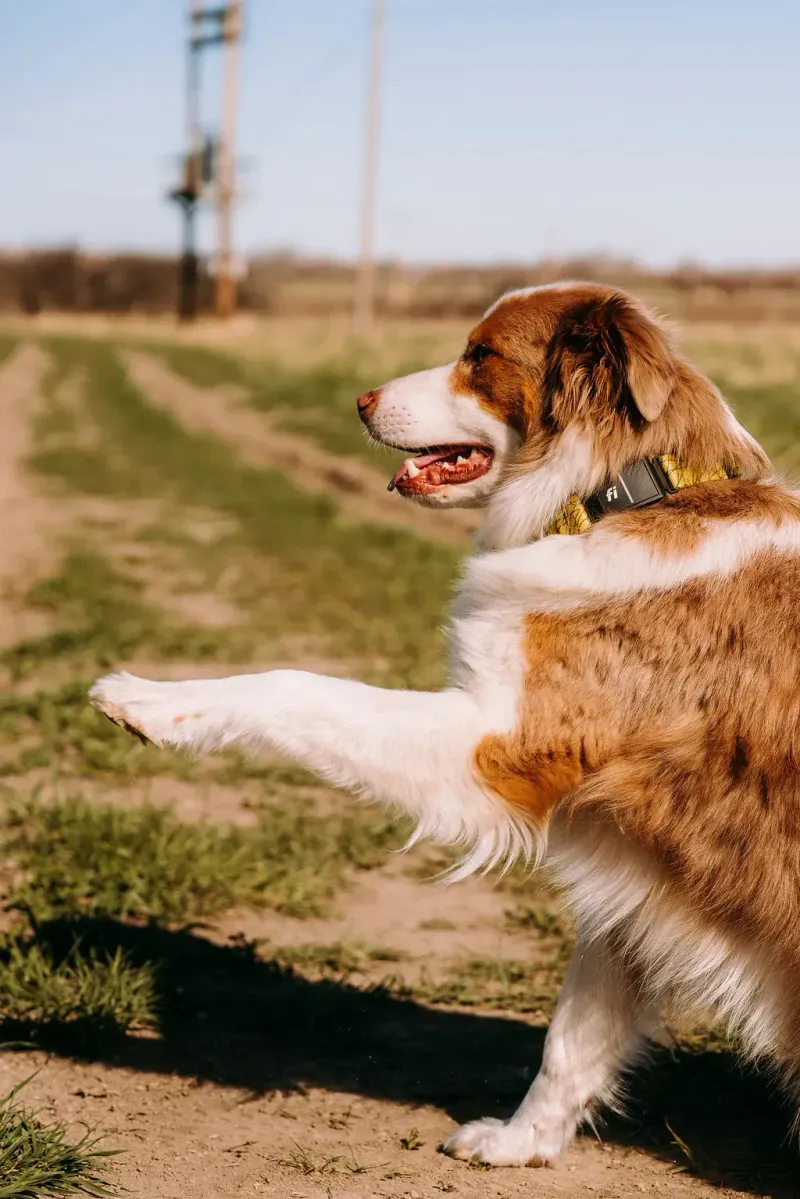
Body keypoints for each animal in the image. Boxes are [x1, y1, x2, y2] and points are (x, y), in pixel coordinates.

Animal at [90, 285, 800, 1165]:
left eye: (480, 356)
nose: (360, 399)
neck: (624, 492)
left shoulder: (495, 744)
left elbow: (297, 684)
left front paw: (151, 700)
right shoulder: (630, 863)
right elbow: (574, 1036)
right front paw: (522, 1143)